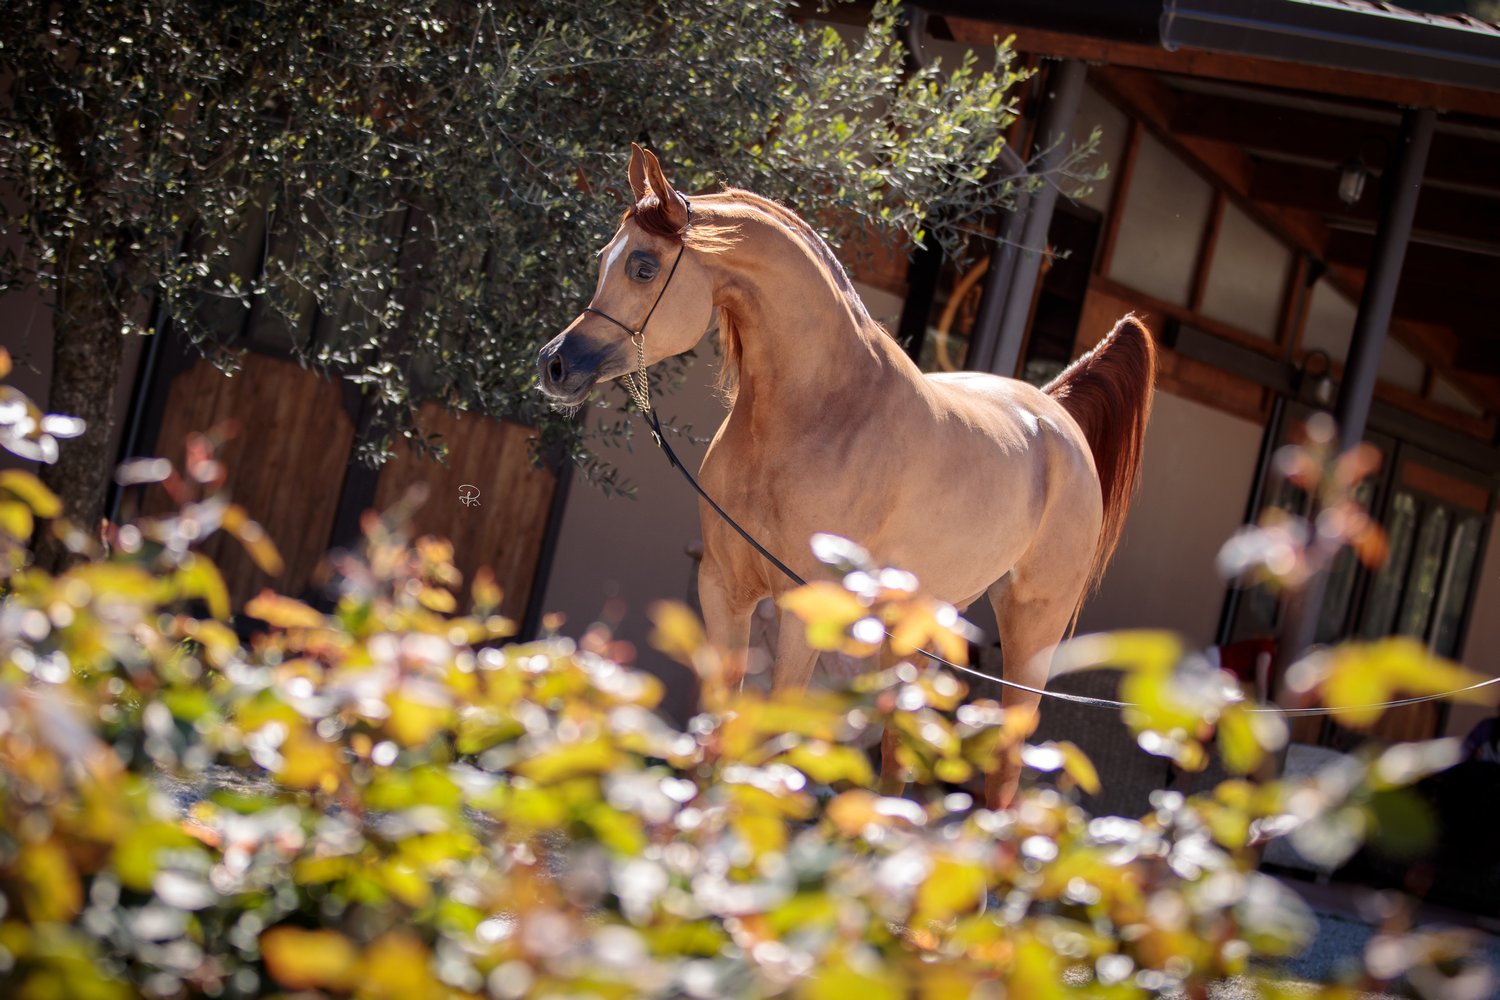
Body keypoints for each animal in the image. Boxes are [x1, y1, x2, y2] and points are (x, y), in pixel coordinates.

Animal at [538, 144, 1156, 807]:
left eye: (644, 267)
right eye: (606, 259)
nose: (554, 365)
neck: (820, 413)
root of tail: (1055, 413)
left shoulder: (807, 607)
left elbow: (772, 737)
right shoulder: (723, 588)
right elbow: (717, 725)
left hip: (1032, 630)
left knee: (1005, 768)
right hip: (920, 622)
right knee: (899, 747)